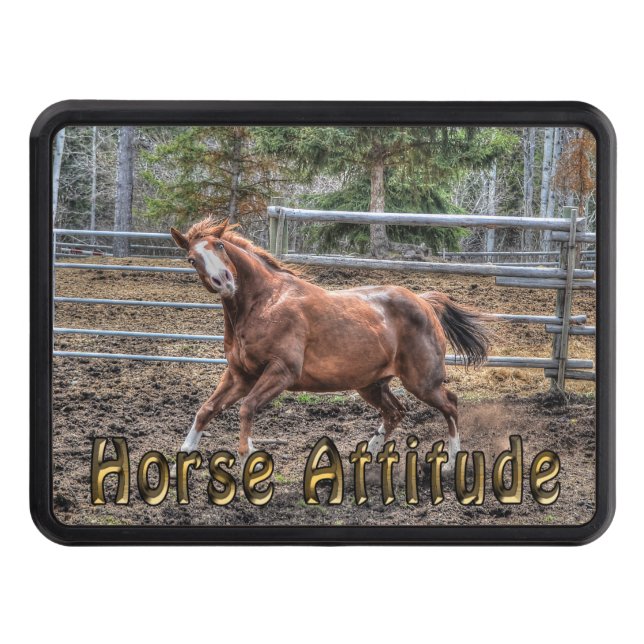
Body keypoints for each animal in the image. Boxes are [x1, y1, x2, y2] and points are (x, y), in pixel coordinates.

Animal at [170, 217, 490, 471]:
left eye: (220, 246)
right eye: (191, 259)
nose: (224, 281)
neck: (263, 304)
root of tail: (424, 302)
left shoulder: (281, 372)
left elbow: (246, 408)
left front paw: (250, 457)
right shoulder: (240, 375)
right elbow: (206, 409)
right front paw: (182, 458)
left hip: (422, 382)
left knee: (450, 405)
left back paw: (450, 464)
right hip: (371, 384)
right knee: (395, 413)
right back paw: (366, 456)